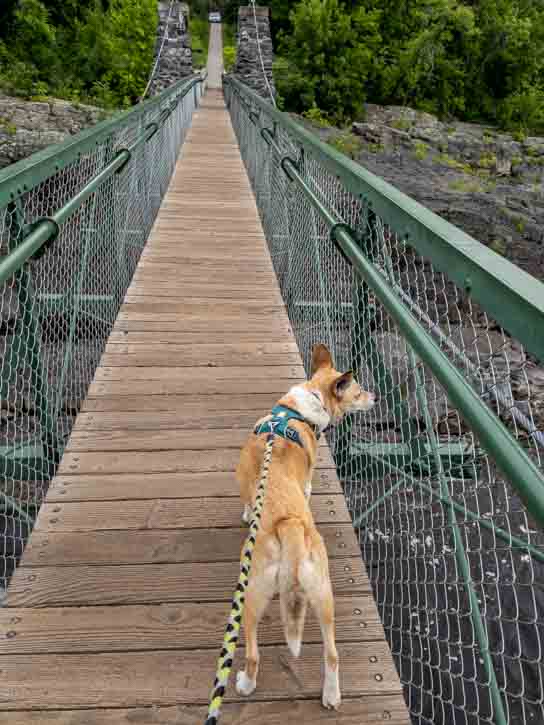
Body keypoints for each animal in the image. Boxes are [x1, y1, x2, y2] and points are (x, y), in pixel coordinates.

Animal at [236, 344, 376, 708]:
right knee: (332, 654)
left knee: (253, 654)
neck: (300, 410)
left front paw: (246, 514)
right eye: (358, 392)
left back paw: (244, 684)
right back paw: (331, 695)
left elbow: (247, 503)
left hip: (251, 594)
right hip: (323, 595)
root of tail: (290, 526)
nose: (376, 397)